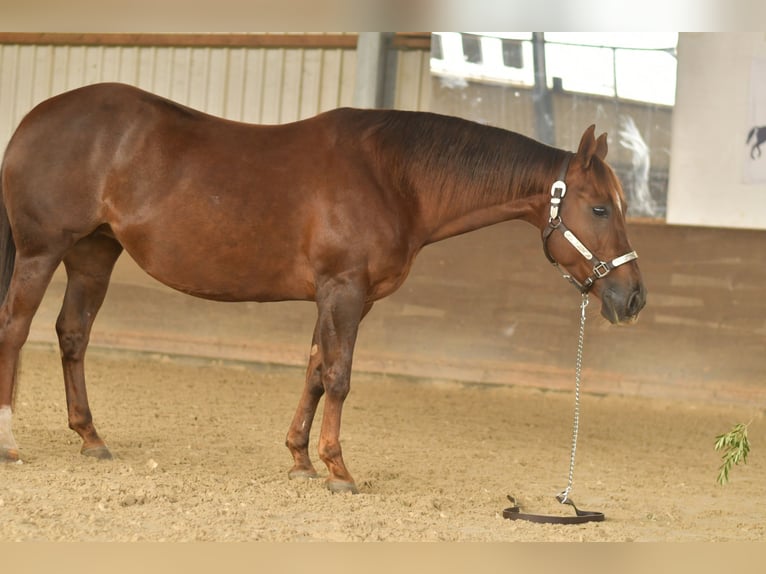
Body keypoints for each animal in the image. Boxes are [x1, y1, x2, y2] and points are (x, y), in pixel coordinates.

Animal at [0, 83, 645, 493]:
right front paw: (339, 471)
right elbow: (338, 375)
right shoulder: (344, 291)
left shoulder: (335, 297)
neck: (392, 176)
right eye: (598, 208)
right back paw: (10, 442)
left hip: (92, 255)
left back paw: (90, 437)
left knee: (72, 335)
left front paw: (300, 461)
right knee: (16, 329)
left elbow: (313, 370)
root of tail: (34, 118)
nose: (633, 298)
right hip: (42, 251)